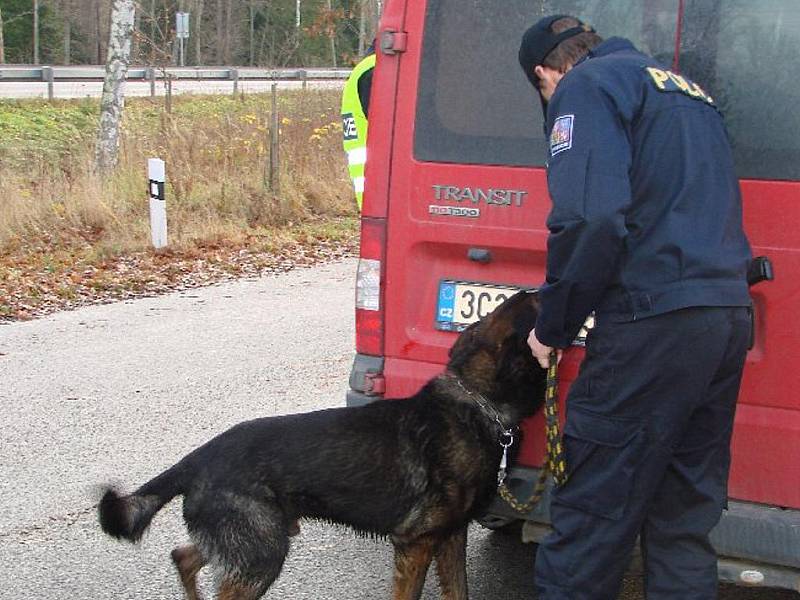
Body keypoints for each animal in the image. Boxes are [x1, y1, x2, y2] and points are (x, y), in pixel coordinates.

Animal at [97, 290, 548, 596]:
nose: (539, 285)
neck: (475, 402)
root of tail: (199, 458)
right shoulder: (415, 544)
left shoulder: (451, 537)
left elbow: (459, 591)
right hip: (262, 554)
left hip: (247, 541)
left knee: (184, 556)